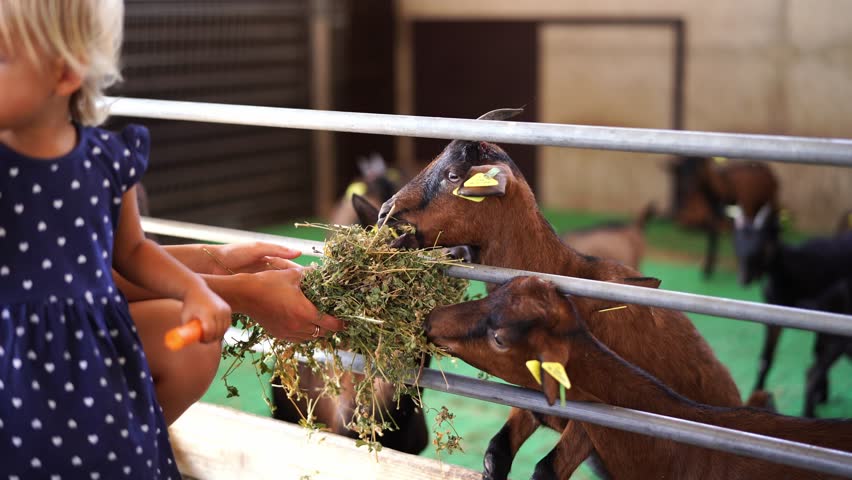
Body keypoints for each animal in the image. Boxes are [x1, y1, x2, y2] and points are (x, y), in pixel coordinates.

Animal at [377, 113, 751, 478]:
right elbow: (495, 455)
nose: (384, 214)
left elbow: (546, 470)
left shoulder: (597, 418)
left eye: (453, 175)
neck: (564, 269)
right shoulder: (530, 399)